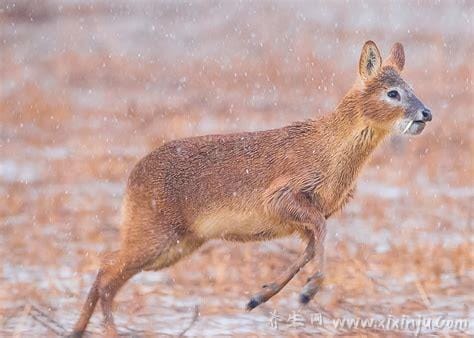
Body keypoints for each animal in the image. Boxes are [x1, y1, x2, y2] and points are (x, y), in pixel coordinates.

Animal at [71, 40, 434, 336]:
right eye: (392, 92)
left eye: (411, 86)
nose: (426, 113)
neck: (329, 153)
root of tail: (132, 178)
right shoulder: (281, 197)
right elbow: (318, 237)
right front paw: (308, 291)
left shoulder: (308, 217)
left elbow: (309, 249)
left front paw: (259, 297)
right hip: (155, 233)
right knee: (108, 274)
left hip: (178, 243)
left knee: (106, 268)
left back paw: (78, 329)